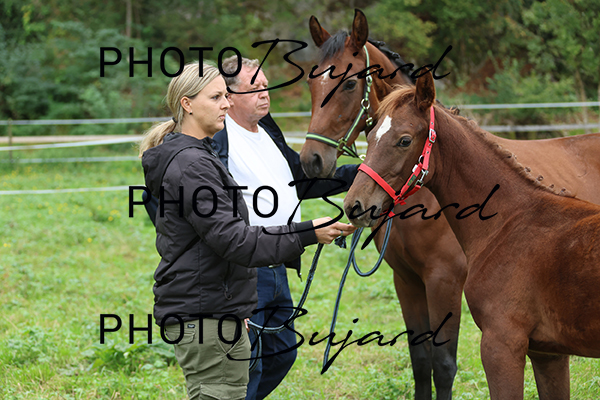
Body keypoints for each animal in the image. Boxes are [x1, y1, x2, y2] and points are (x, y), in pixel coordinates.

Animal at [301, 10, 467, 400]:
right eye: (312, 85)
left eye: (349, 84)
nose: (311, 161)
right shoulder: (406, 280)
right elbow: (421, 361)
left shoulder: (445, 281)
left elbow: (444, 366)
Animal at [343, 71, 600, 399]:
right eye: (371, 134)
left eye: (404, 140)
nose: (355, 205)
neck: (511, 220)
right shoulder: (549, 354)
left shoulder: (500, 345)